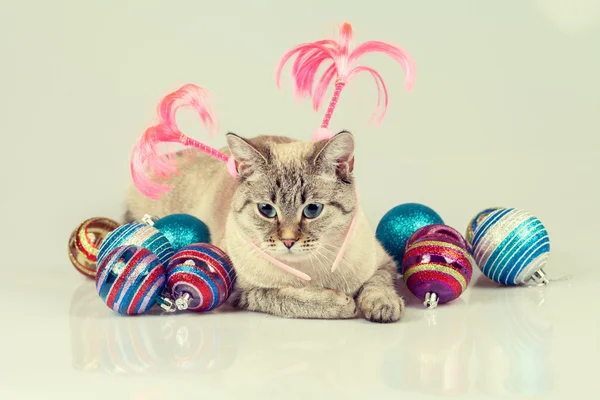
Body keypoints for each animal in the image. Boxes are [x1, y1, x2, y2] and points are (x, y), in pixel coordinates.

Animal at [125, 130, 406, 324]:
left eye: (312, 210)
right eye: (266, 210)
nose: (288, 241)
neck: (310, 270)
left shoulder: (384, 263)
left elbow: (377, 285)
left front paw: (383, 305)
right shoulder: (242, 293)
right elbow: (288, 297)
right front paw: (340, 302)